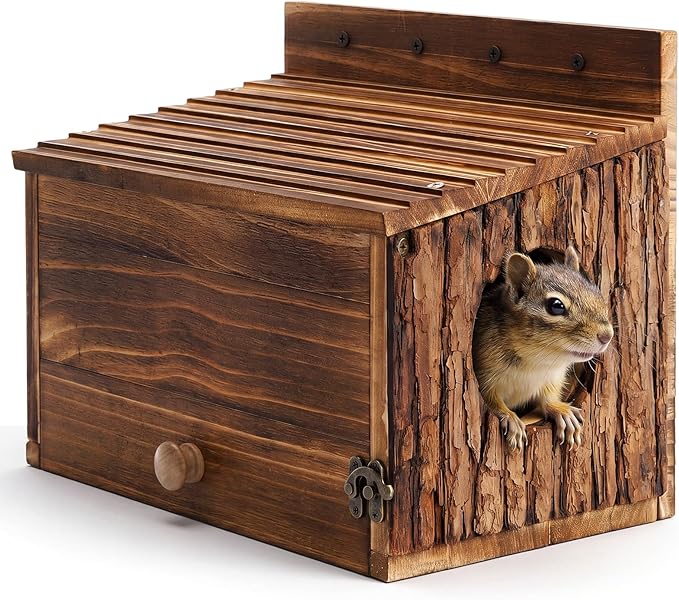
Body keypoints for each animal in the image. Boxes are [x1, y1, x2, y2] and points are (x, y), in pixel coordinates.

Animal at [472, 246, 613, 451]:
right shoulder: (483, 372)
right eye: (556, 306)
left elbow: (547, 399)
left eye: (597, 292)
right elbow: (490, 400)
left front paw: (561, 411)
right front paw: (510, 417)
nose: (607, 336)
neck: (537, 361)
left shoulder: (553, 378)